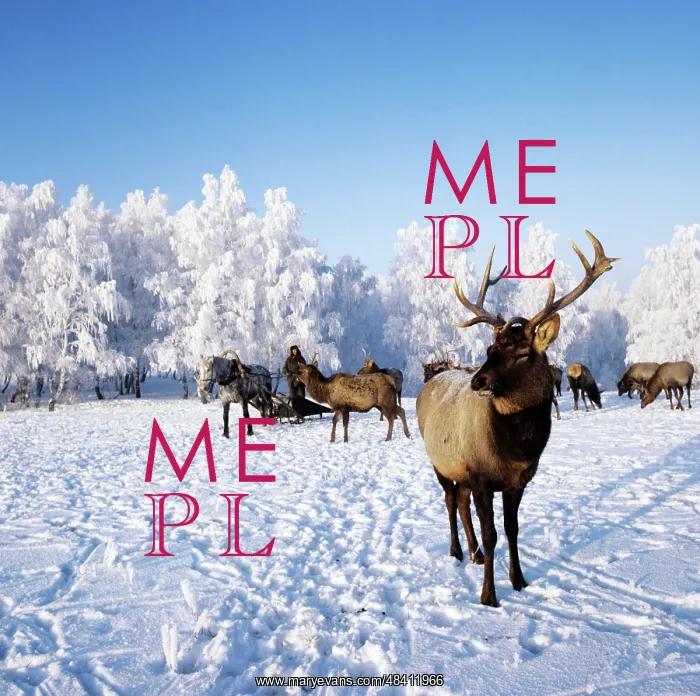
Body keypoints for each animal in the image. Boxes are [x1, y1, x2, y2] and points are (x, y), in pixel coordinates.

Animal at [416, 231, 618, 607]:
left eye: (523, 353)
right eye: (490, 350)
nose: (477, 381)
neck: (516, 452)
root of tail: (431, 381)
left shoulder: (517, 481)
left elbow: (512, 530)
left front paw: (519, 580)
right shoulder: (481, 475)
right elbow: (492, 533)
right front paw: (488, 595)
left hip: (461, 468)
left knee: (460, 501)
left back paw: (474, 553)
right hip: (439, 461)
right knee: (450, 500)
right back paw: (457, 551)